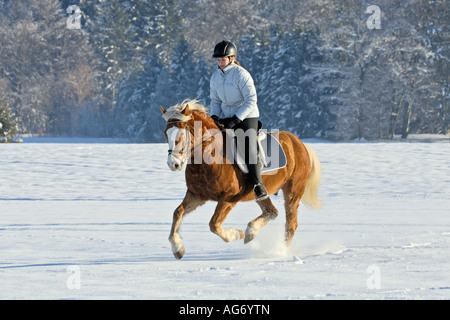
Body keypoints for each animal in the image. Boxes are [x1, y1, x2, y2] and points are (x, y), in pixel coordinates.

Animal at [160, 99, 322, 258]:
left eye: (181, 134)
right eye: (166, 134)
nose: (173, 164)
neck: (212, 157)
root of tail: (300, 144)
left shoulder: (229, 198)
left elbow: (214, 224)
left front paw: (236, 234)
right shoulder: (197, 195)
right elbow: (178, 213)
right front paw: (177, 248)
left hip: (293, 192)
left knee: (291, 224)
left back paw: (282, 251)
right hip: (260, 193)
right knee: (272, 211)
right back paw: (251, 232)